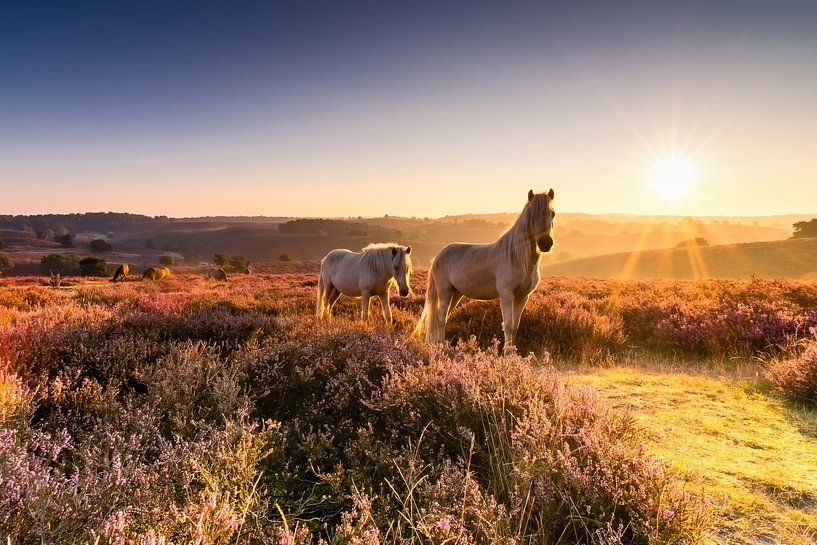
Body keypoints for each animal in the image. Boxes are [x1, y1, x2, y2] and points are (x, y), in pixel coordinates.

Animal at [414, 189, 556, 354]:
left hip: (456, 294)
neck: (518, 258)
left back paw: (437, 345)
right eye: (531, 215)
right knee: (441, 318)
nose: (545, 243)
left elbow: (515, 327)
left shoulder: (523, 297)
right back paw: (442, 347)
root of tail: (439, 255)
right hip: (445, 292)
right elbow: (508, 325)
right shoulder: (506, 295)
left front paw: (512, 354)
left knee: (442, 318)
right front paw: (506, 354)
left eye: (552, 213)